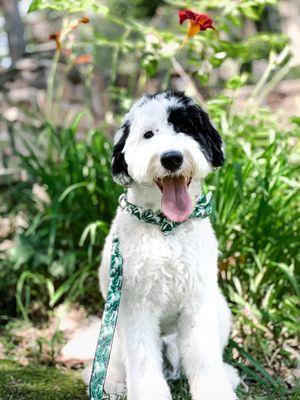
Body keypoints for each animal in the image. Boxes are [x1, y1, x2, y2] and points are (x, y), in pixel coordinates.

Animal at [95, 91, 238, 400]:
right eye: (148, 134)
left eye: (185, 128)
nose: (172, 158)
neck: (167, 228)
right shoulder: (136, 307)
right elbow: (142, 362)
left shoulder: (198, 303)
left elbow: (205, 358)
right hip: (114, 323)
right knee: (114, 360)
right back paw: (112, 383)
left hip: (219, 309)